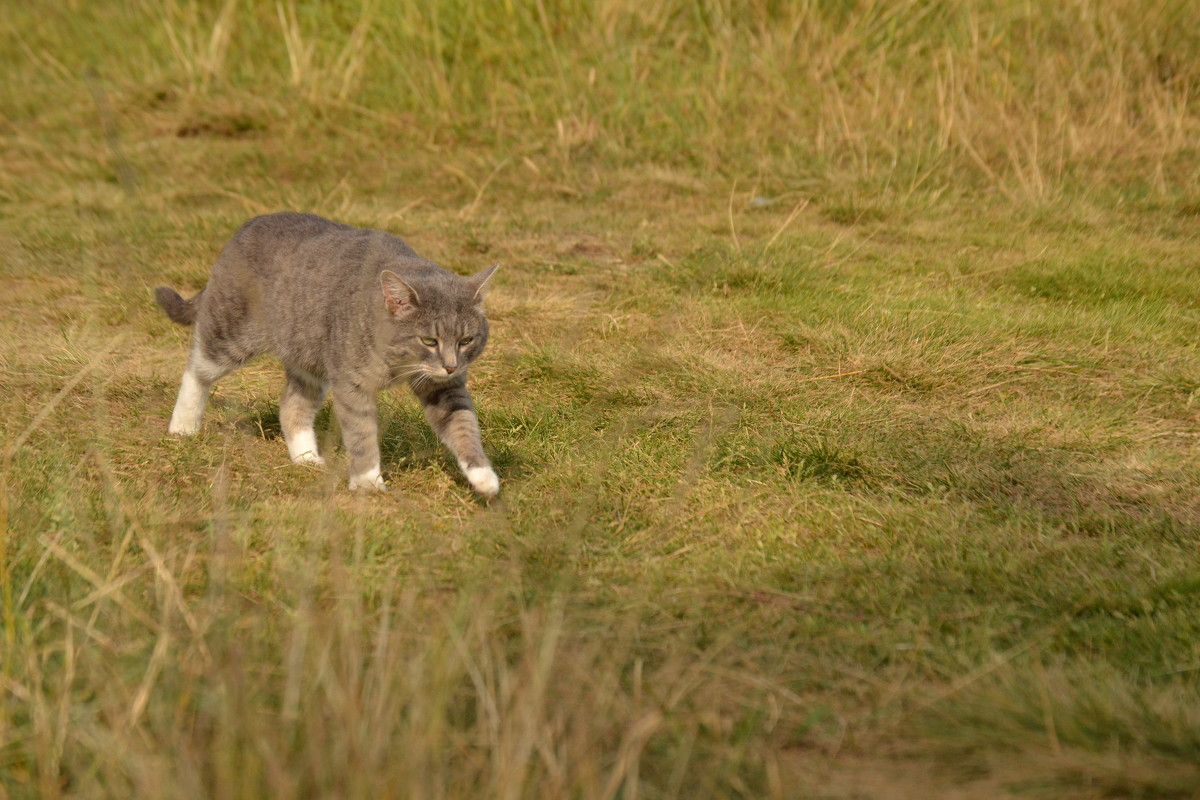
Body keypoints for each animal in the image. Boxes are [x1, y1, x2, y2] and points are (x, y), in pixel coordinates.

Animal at [156, 212, 501, 501]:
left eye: (466, 340)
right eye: (429, 340)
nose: (450, 366)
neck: (399, 363)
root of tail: (247, 226)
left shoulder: (444, 388)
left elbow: (463, 425)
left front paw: (484, 478)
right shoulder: (351, 382)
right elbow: (361, 432)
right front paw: (368, 482)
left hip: (308, 358)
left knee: (292, 405)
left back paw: (307, 459)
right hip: (232, 332)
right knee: (197, 369)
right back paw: (183, 428)